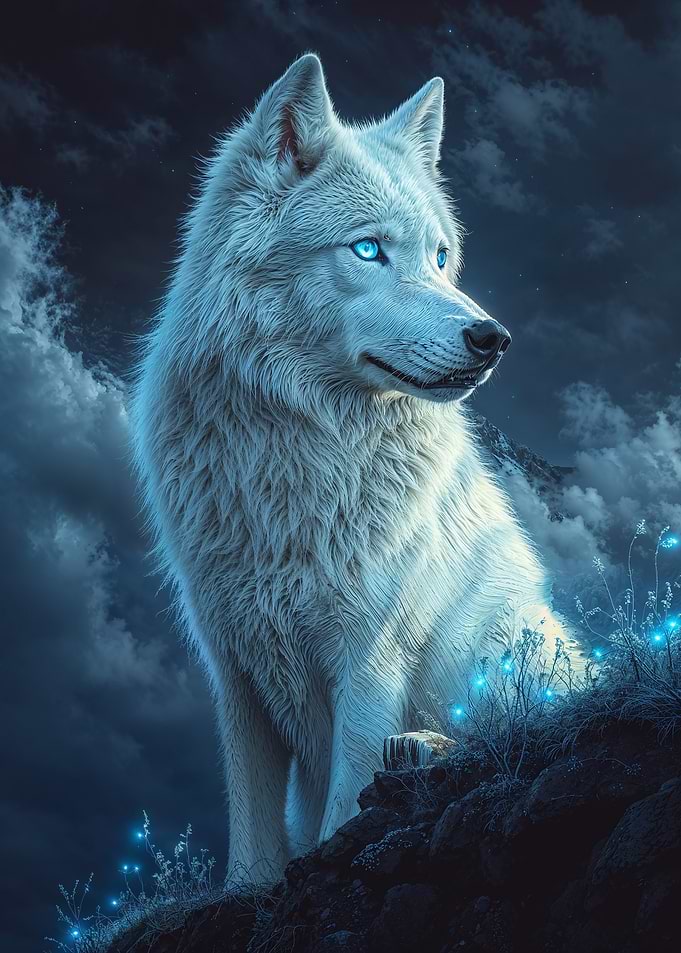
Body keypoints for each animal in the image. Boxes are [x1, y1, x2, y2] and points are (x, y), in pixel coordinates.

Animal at [131, 53, 578, 881]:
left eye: (440, 257)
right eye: (368, 249)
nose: (491, 338)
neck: (294, 447)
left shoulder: (369, 653)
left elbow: (344, 799)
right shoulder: (232, 667)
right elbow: (252, 828)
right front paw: (252, 886)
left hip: (502, 638)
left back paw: (425, 748)